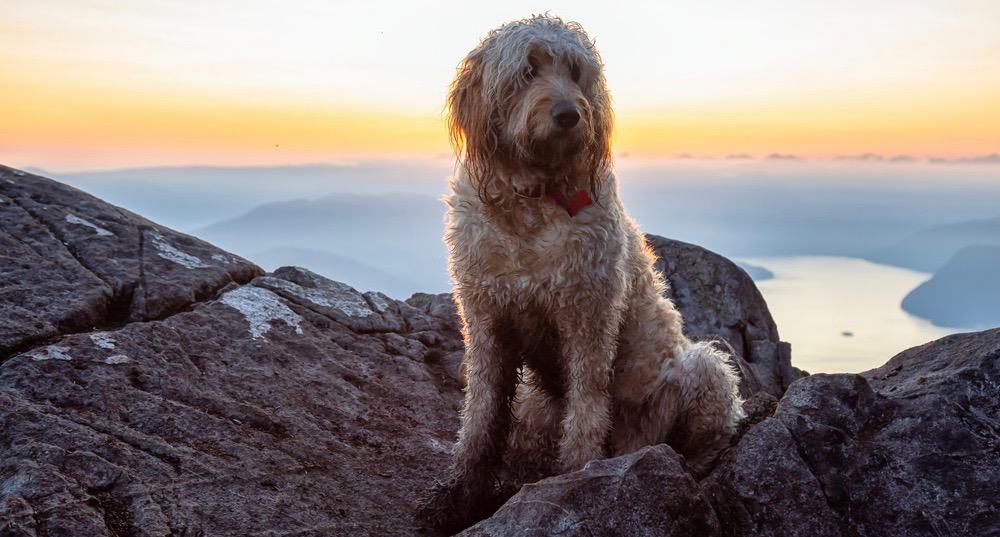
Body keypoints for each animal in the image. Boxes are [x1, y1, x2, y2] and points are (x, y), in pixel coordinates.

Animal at [414, 13, 744, 532]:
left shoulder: (588, 316)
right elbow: (482, 414)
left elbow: (587, 404)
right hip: (535, 406)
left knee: (704, 434)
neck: (531, 201)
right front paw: (461, 491)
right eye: (528, 70)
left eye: (575, 71)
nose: (570, 114)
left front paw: (575, 474)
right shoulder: (486, 320)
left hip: (700, 371)